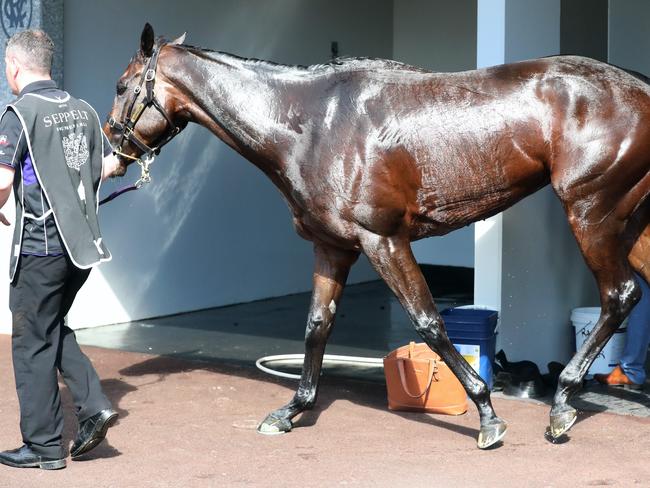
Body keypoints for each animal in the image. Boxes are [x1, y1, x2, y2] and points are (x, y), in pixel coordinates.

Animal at [102, 23, 648, 450]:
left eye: (122, 84)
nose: (110, 152)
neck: (313, 124)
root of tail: (638, 85)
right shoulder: (333, 247)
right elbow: (317, 325)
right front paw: (292, 410)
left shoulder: (382, 240)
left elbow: (428, 322)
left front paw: (487, 415)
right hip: (628, 222)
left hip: (590, 212)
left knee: (618, 294)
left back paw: (562, 402)